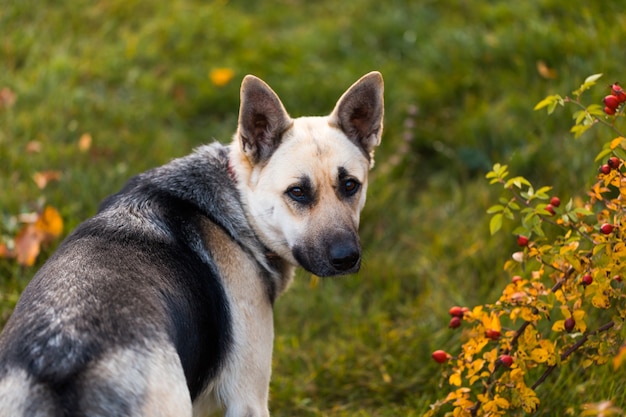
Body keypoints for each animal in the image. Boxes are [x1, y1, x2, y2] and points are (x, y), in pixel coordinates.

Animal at [0, 71, 380, 416]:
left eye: (350, 185)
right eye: (298, 192)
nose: (346, 258)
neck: (238, 201)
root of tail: (60, 366)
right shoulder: (248, 399)